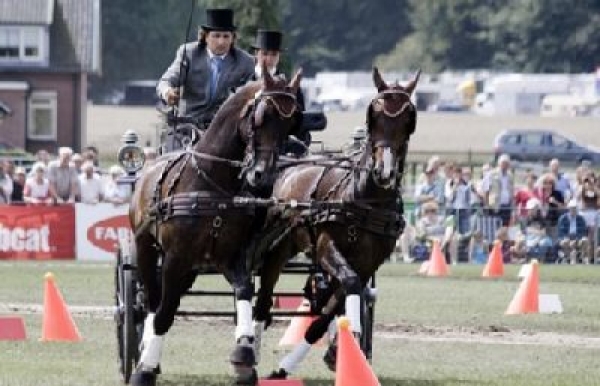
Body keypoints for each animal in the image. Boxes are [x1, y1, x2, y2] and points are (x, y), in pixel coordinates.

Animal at [128, 67, 302, 386]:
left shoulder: (231, 257)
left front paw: (244, 351)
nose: (263, 175)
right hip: (146, 249)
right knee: (152, 301)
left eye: (292, 121)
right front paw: (144, 369)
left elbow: (244, 292)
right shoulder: (175, 258)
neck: (211, 183)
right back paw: (146, 355)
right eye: (261, 116)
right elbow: (164, 313)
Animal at [252, 67, 418, 376]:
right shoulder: (328, 247)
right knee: (263, 296)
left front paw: (333, 351)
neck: (367, 199)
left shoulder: (367, 263)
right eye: (373, 116)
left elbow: (328, 312)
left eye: (409, 120)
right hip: (278, 247)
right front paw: (347, 343)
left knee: (317, 296)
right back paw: (250, 349)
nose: (385, 171)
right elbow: (348, 286)